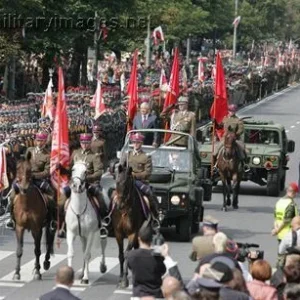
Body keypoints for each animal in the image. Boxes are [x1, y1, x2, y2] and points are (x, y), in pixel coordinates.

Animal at [11, 152, 55, 282]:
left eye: (29, 170)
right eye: (17, 168)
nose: (23, 188)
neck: (26, 204)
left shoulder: (37, 229)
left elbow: (37, 250)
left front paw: (37, 272)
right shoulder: (19, 227)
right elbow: (19, 250)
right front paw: (17, 273)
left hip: (51, 225)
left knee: (49, 241)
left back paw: (45, 263)